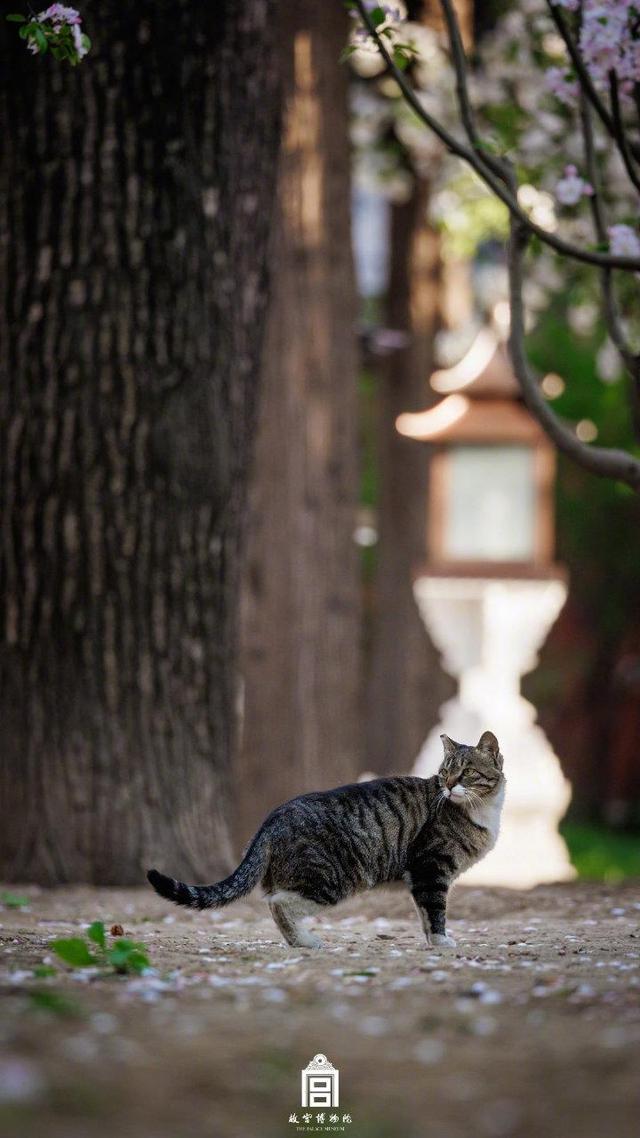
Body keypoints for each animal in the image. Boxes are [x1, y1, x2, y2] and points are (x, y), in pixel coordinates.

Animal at [148, 728, 503, 951]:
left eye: (466, 772)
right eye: (445, 772)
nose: (449, 786)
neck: (481, 810)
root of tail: (271, 819)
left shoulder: (423, 876)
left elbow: (425, 916)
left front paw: (432, 941)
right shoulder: (430, 869)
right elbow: (435, 911)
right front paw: (442, 942)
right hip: (332, 879)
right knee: (279, 903)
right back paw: (305, 941)